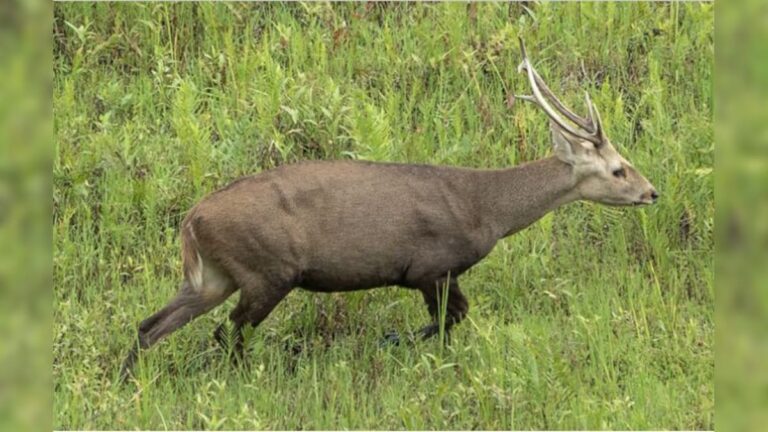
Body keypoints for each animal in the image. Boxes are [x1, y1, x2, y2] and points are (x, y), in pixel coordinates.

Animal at [120, 38, 658, 379]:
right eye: (618, 169)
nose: (652, 192)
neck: (485, 209)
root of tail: (191, 221)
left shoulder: (437, 273)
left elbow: (453, 320)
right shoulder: (431, 266)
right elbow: (451, 319)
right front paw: (396, 344)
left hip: (214, 277)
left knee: (151, 325)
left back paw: (131, 383)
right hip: (267, 271)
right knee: (226, 333)